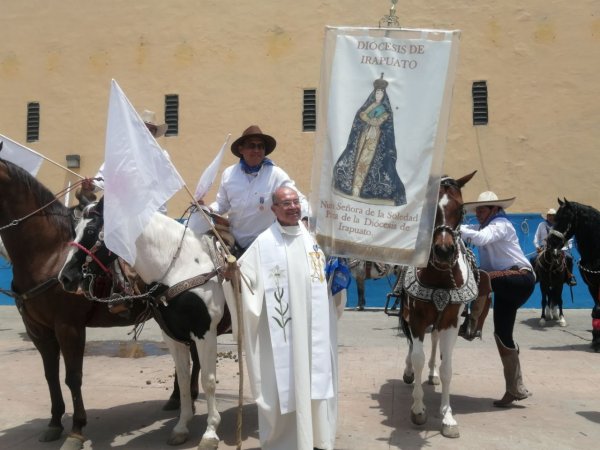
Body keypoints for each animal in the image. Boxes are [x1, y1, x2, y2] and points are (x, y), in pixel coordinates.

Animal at [59, 199, 227, 448]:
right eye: (75, 230)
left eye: (90, 231)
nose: (65, 277)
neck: (182, 267)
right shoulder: (173, 336)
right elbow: (183, 379)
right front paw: (181, 427)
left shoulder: (205, 333)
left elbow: (209, 380)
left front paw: (210, 432)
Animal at [396, 171, 490, 436]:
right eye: (430, 206)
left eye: (461, 209)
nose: (444, 250)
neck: (439, 277)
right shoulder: (417, 319)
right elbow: (417, 356)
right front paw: (418, 409)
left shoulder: (450, 321)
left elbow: (448, 367)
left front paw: (447, 417)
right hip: (408, 315)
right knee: (411, 347)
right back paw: (410, 372)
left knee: (435, 341)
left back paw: (432, 374)